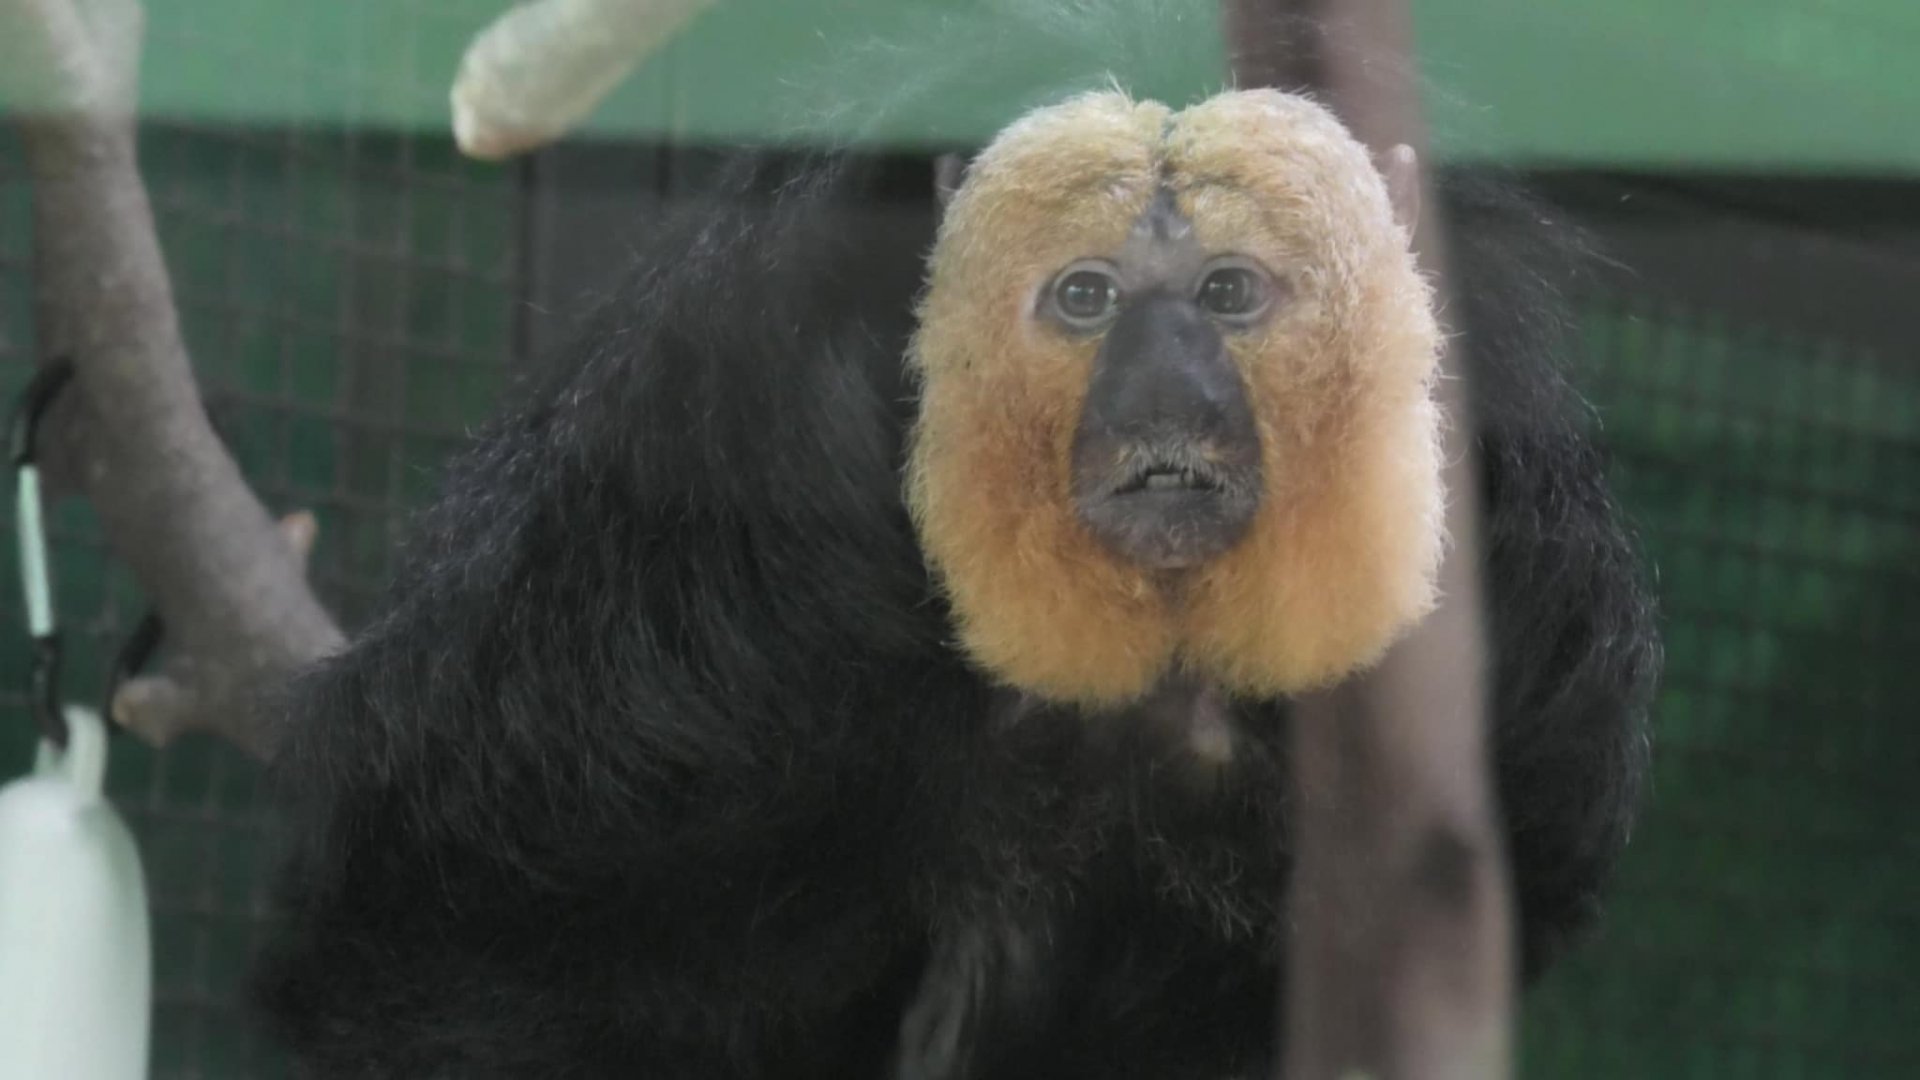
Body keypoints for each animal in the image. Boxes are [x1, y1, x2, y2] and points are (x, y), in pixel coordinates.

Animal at [250, 46, 1657, 1080]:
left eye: (1231, 293)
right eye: (1086, 298)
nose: (1171, 397)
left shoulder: (1520, 603)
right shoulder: (706, 545)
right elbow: (436, 931)